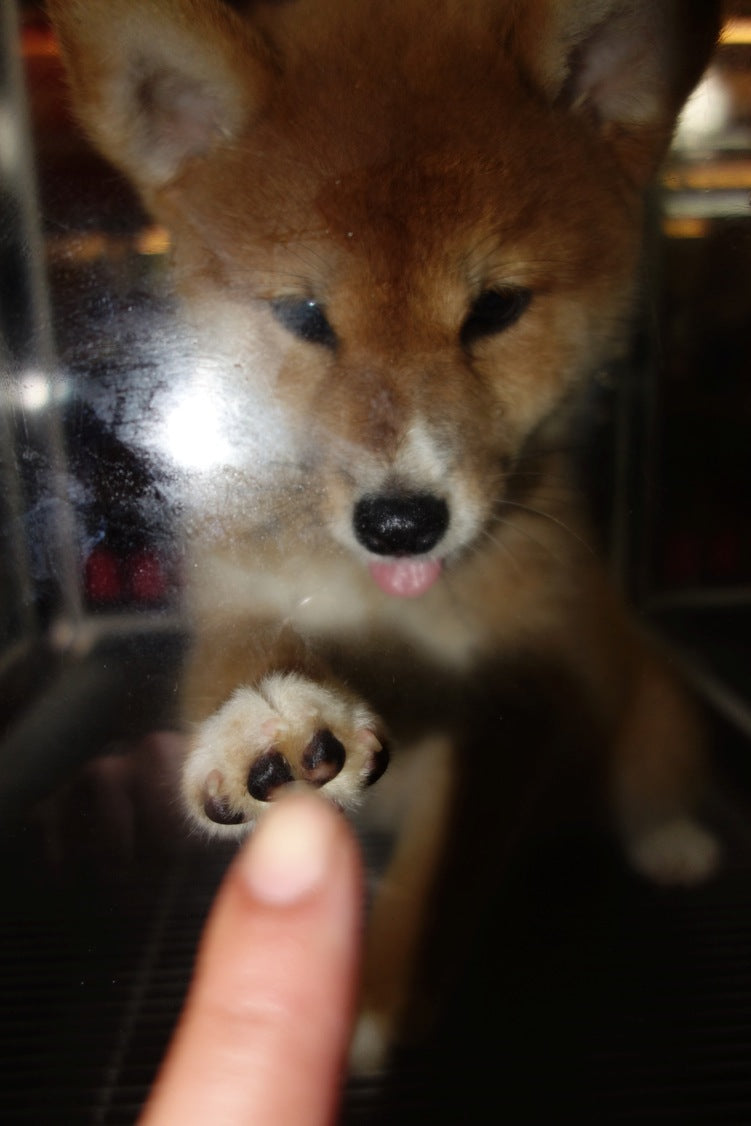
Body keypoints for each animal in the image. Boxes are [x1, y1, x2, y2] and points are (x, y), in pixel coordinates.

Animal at [48, 0, 720, 1067]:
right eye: (303, 313)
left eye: (495, 308)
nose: (401, 522)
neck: (385, 603)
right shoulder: (239, 604)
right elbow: (241, 673)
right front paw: (267, 730)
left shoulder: (513, 699)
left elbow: (444, 868)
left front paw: (376, 993)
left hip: (654, 710)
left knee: (648, 782)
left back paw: (672, 842)